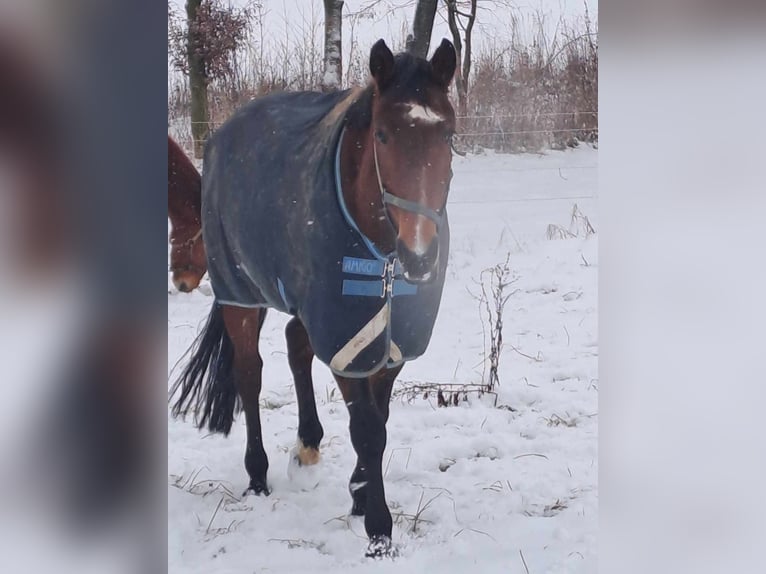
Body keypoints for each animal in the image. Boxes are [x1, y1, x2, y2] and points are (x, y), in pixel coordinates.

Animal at [172, 39, 460, 560]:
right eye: (383, 135)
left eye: (447, 135)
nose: (420, 255)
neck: (382, 254)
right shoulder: (347, 340)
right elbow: (368, 429)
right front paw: (379, 530)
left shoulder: (387, 340)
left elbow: (379, 418)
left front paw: (361, 495)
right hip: (241, 296)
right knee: (249, 373)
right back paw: (258, 475)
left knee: (295, 342)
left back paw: (307, 445)